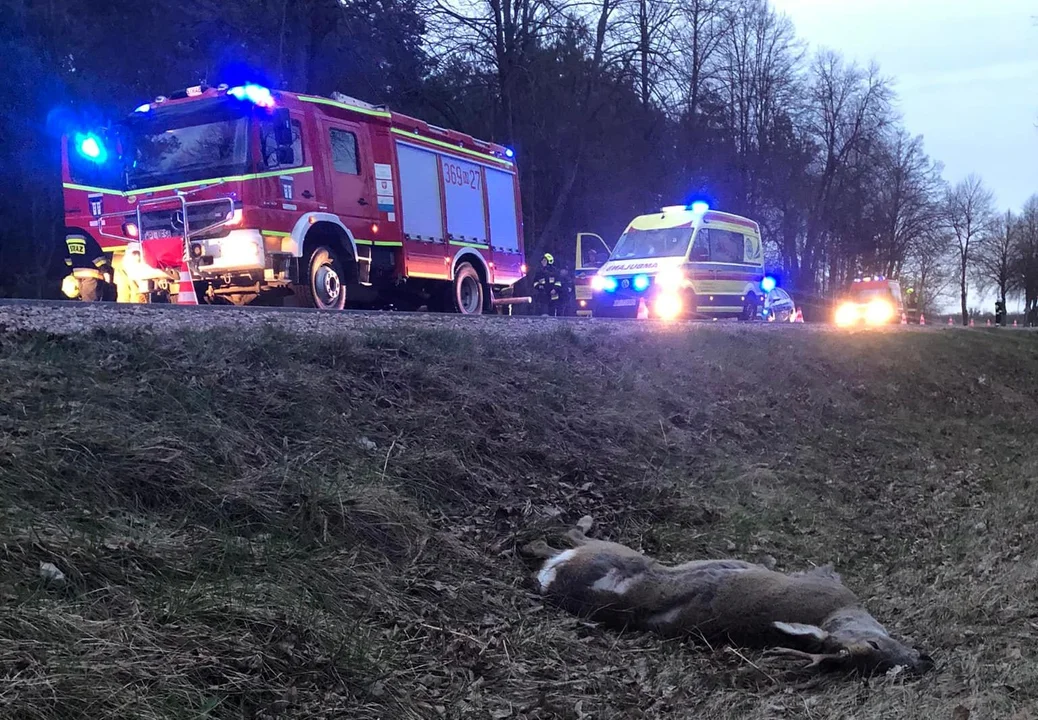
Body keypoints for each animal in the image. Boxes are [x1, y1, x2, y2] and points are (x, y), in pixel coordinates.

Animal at [523, 531, 938, 676]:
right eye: (873, 646)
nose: (923, 660)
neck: (836, 613)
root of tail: (555, 581)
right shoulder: (823, 580)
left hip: (609, 552)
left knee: (546, 544)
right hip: (612, 549)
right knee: (558, 539)